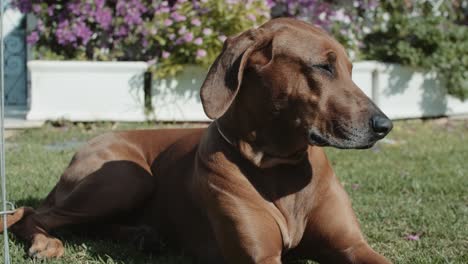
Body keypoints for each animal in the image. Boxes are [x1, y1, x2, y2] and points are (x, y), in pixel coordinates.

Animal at [1, 17, 394, 262]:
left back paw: (142, 235)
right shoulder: (260, 256)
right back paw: (47, 243)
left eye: (351, 70)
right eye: (323, 67)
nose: (384, 125)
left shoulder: (352, 245)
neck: (281, 166)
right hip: (127, 176)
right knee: (31, 214)